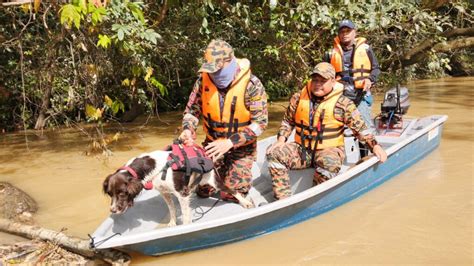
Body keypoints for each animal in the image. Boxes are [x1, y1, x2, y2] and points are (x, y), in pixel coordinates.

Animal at [102, 151, 254, 225]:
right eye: (110, 194)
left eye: (122, 193)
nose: (113, 210)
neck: (151, 167)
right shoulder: (165, 193)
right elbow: (172, 209)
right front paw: (172, 224)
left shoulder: (182, 193)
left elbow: (186, 215)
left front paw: (186, 227)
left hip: (213, 181)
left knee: (232, 190)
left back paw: (245, 202)